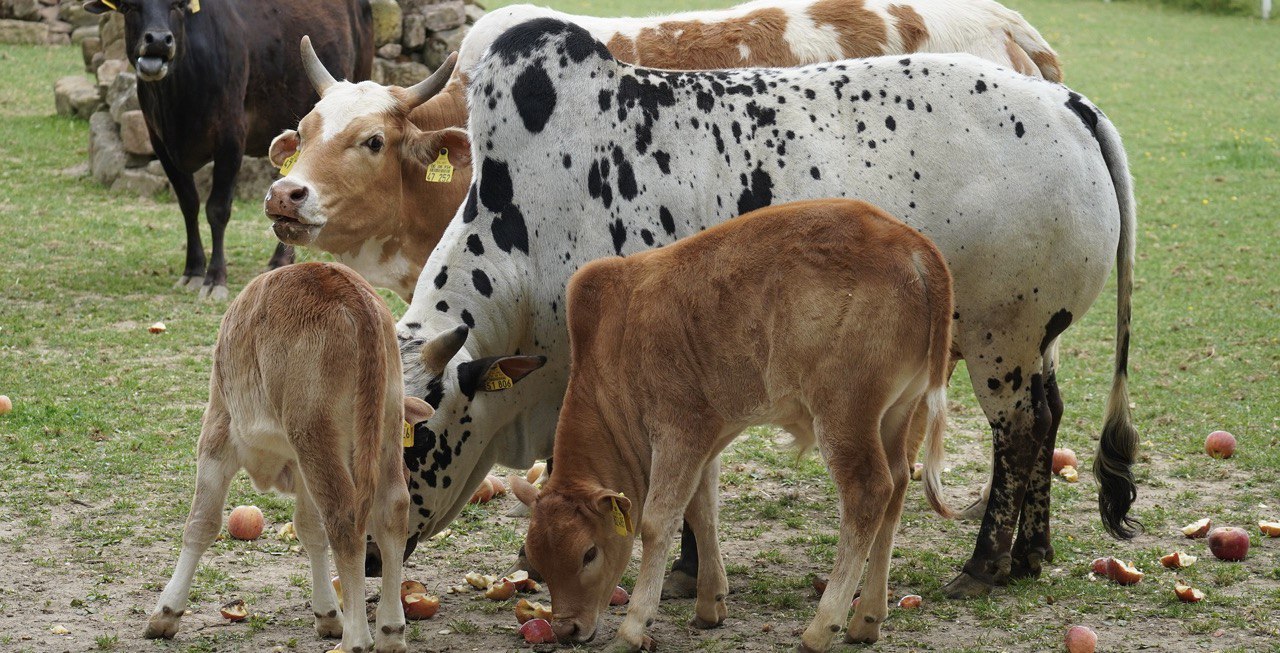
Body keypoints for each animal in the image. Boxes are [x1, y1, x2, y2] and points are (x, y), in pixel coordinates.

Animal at [84, 0, 373, 300]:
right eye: (130, 6)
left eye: (176, 5)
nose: (159, 41)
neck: (178, 102)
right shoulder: (161, 145)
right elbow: (188, 204)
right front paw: (193, 271)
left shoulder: (230, 139)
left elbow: (217, 209)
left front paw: (215, 278)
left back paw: (281, 260)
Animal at [140, 262, 430, 653]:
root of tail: (348, 291)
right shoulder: (300, 464)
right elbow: (310, 530)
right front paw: (328, 613)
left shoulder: (218, 431)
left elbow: (201, 524)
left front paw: (167, 612)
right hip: (377, 433)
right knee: (392, 509)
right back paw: (390, 630)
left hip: (315, 436)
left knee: (344, 519)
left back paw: (356, 638)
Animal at [514, 199, 957, 653]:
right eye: (537, 559)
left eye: (589, 553)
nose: (566, 628)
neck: (614, 343)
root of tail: (911, 244)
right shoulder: (708, 437)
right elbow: (702, 510)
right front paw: (710, 604)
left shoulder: (678, 430)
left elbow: (658, 522)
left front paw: (632, 628)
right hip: (896, 412)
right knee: (898, 483)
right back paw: (866, 618)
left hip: (844, 414)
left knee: (870, 492)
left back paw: (821, 627)